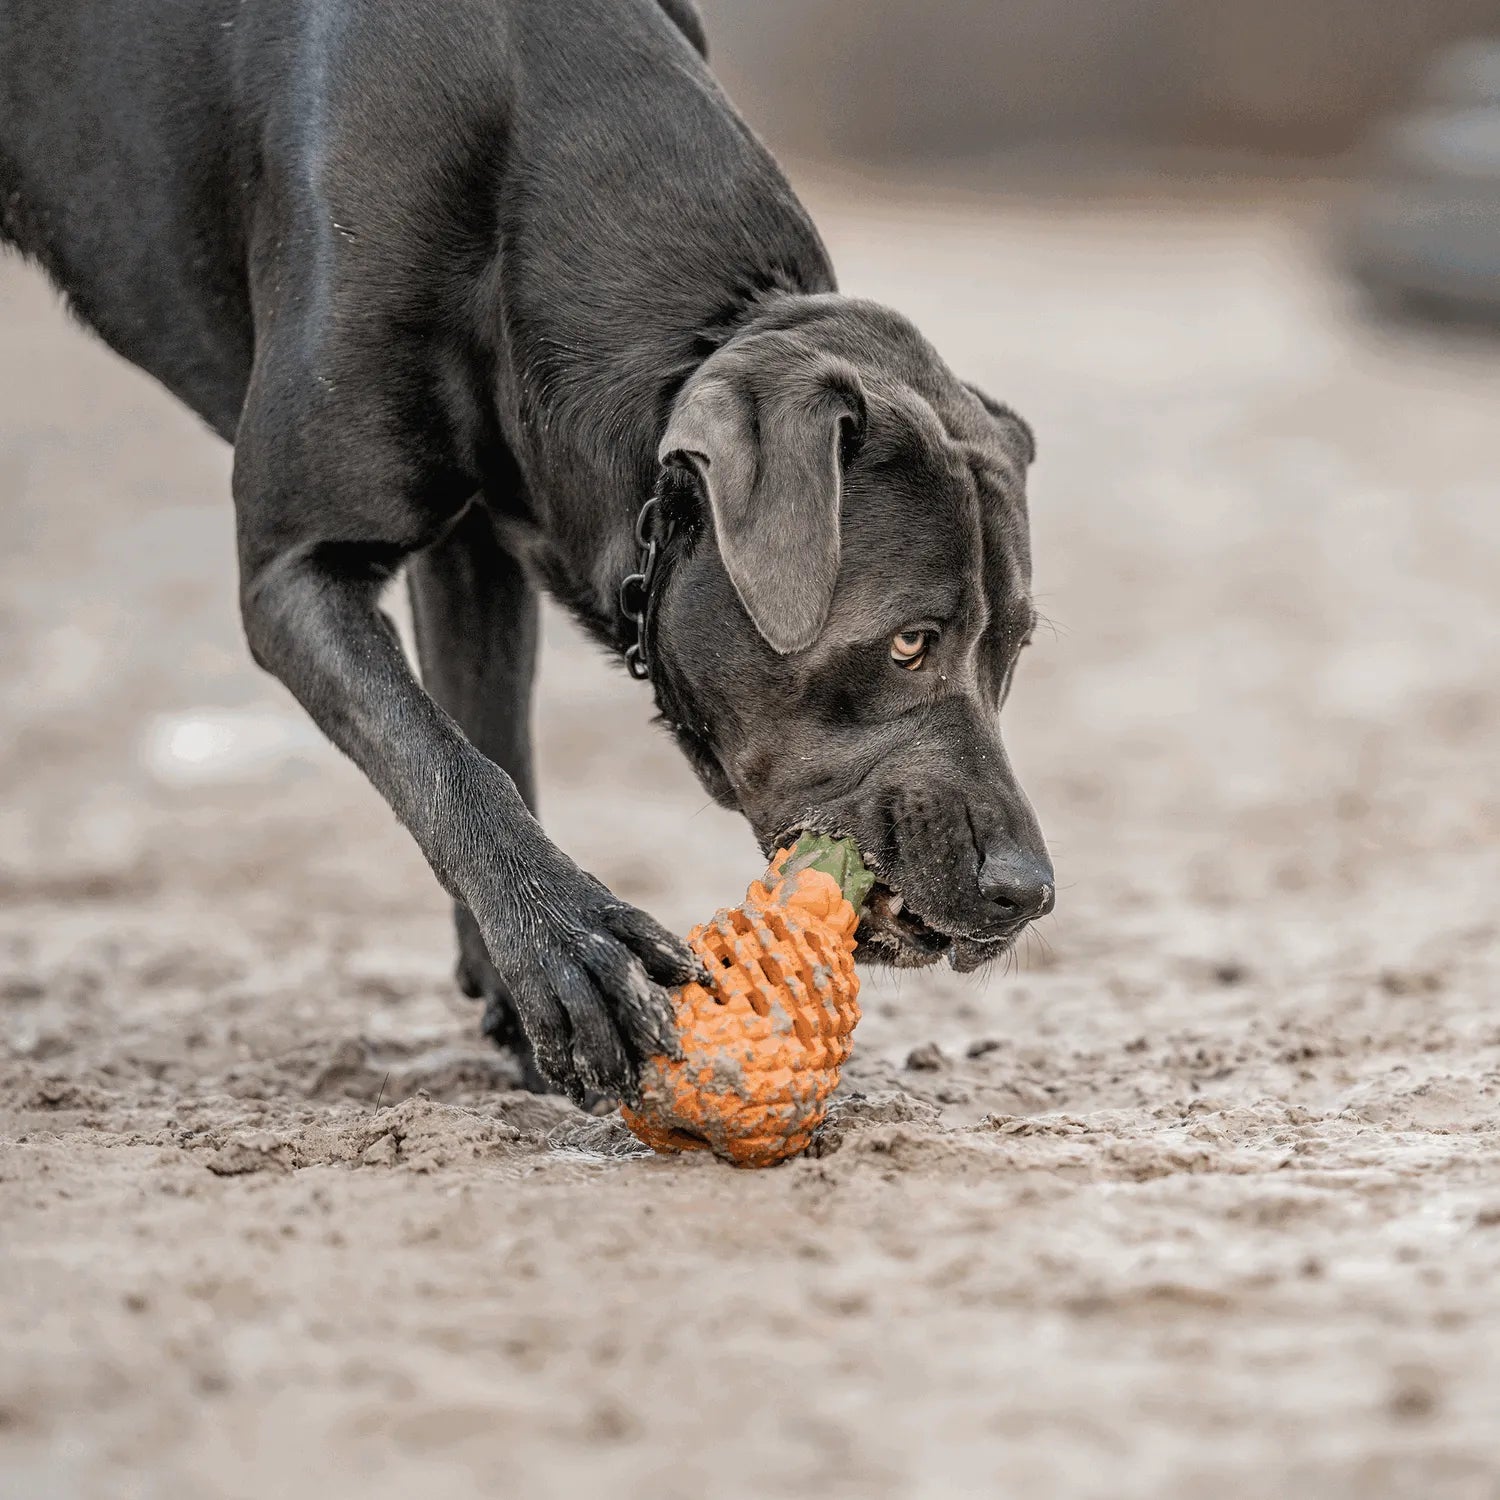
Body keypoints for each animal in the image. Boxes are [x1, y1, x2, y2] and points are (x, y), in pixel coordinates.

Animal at [0, 0, 1056, 1104]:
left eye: (1012, 652)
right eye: (908, 642)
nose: (1028, 892)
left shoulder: (477, 545)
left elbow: (485, 734)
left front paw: (522, 992)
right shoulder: (296, 565)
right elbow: (444, 760)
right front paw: (573, 950)